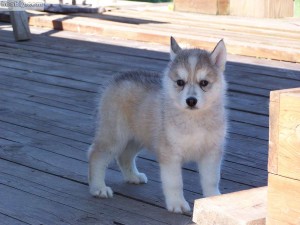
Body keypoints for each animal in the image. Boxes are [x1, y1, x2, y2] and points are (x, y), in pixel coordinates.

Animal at [89, 37, 227, 214]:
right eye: (180, 82)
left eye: (204, 83)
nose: (191, 101)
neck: (194, 120)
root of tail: (118, 77)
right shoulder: (170, 154)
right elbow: (175, 182)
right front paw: (177, 203)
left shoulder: (211, 152)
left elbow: (212, 179)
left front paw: (213, 200)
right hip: (114, 137)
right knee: (96, 155)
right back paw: (98, 188)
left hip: (137, 138)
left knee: (124, 156)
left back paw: (133, 177)